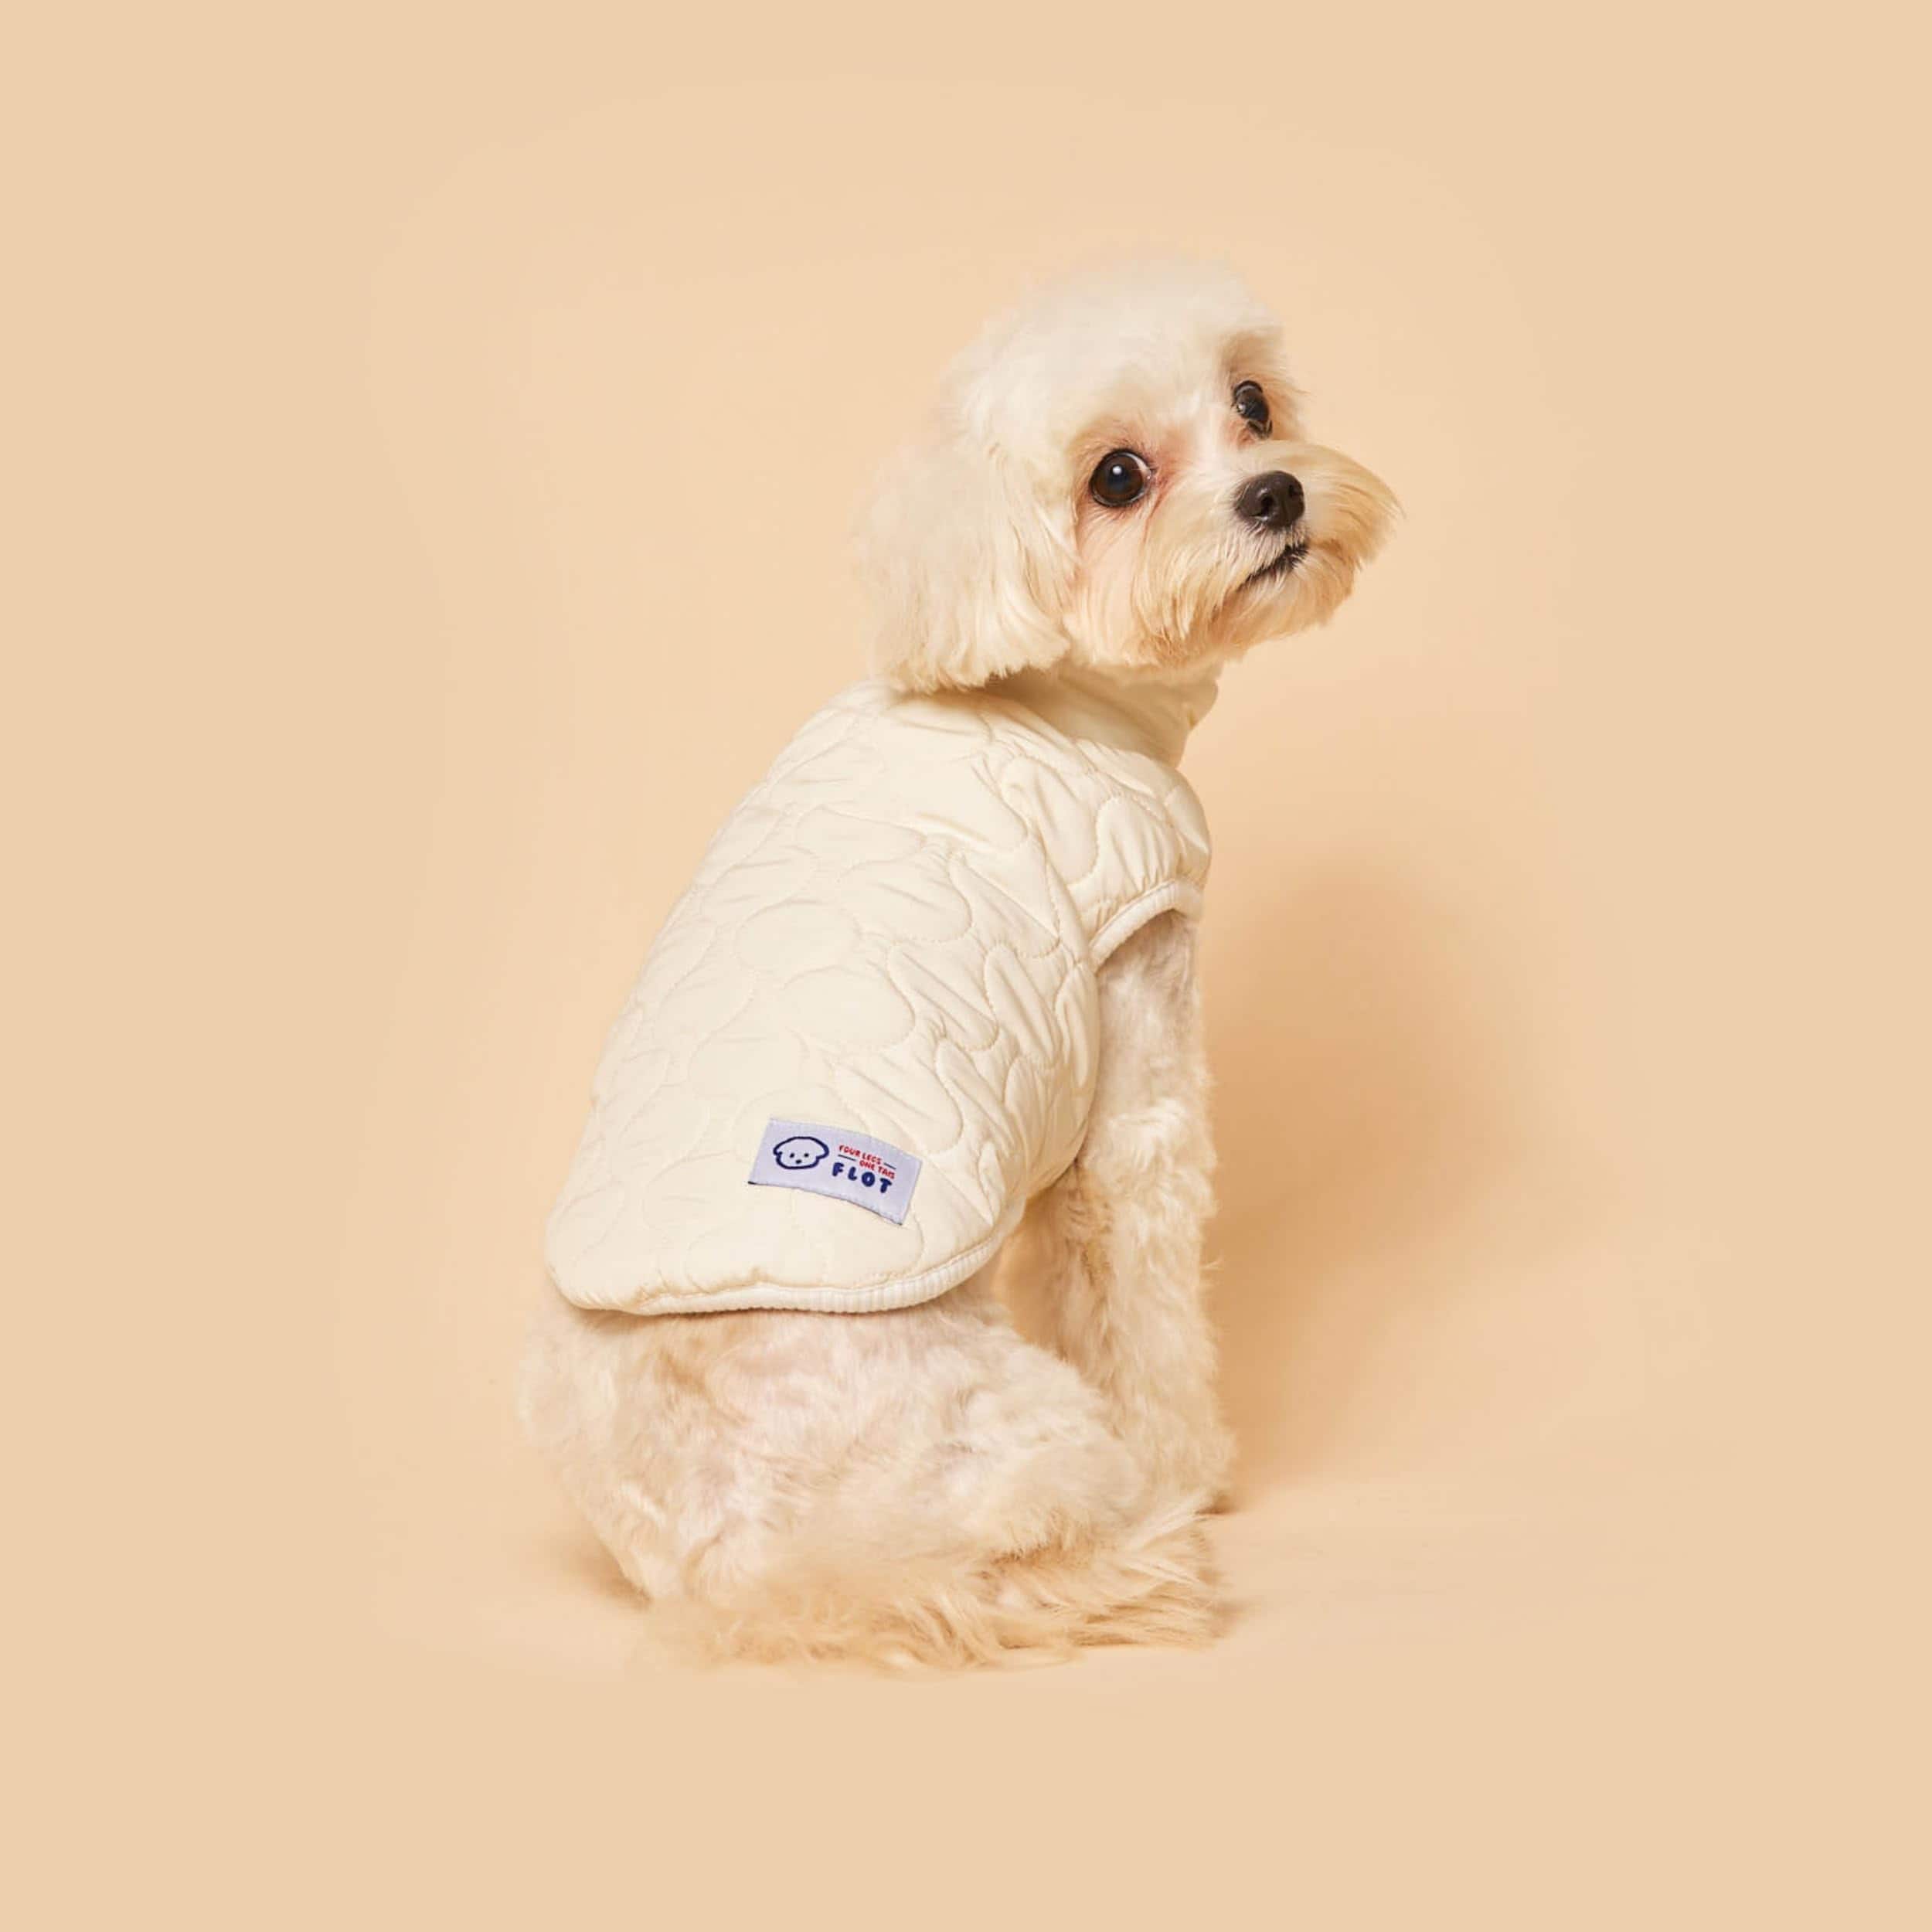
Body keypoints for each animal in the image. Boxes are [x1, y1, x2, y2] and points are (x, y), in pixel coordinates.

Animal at [520, 261, 1394, 1667]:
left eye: (1254, 404)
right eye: (1116, 479)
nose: (1277, 494)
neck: (1051, 688)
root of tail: (756, 1568)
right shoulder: (1136, 1066)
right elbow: (1143, 1301)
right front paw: (1197, 1468)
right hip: (1024, 1435)